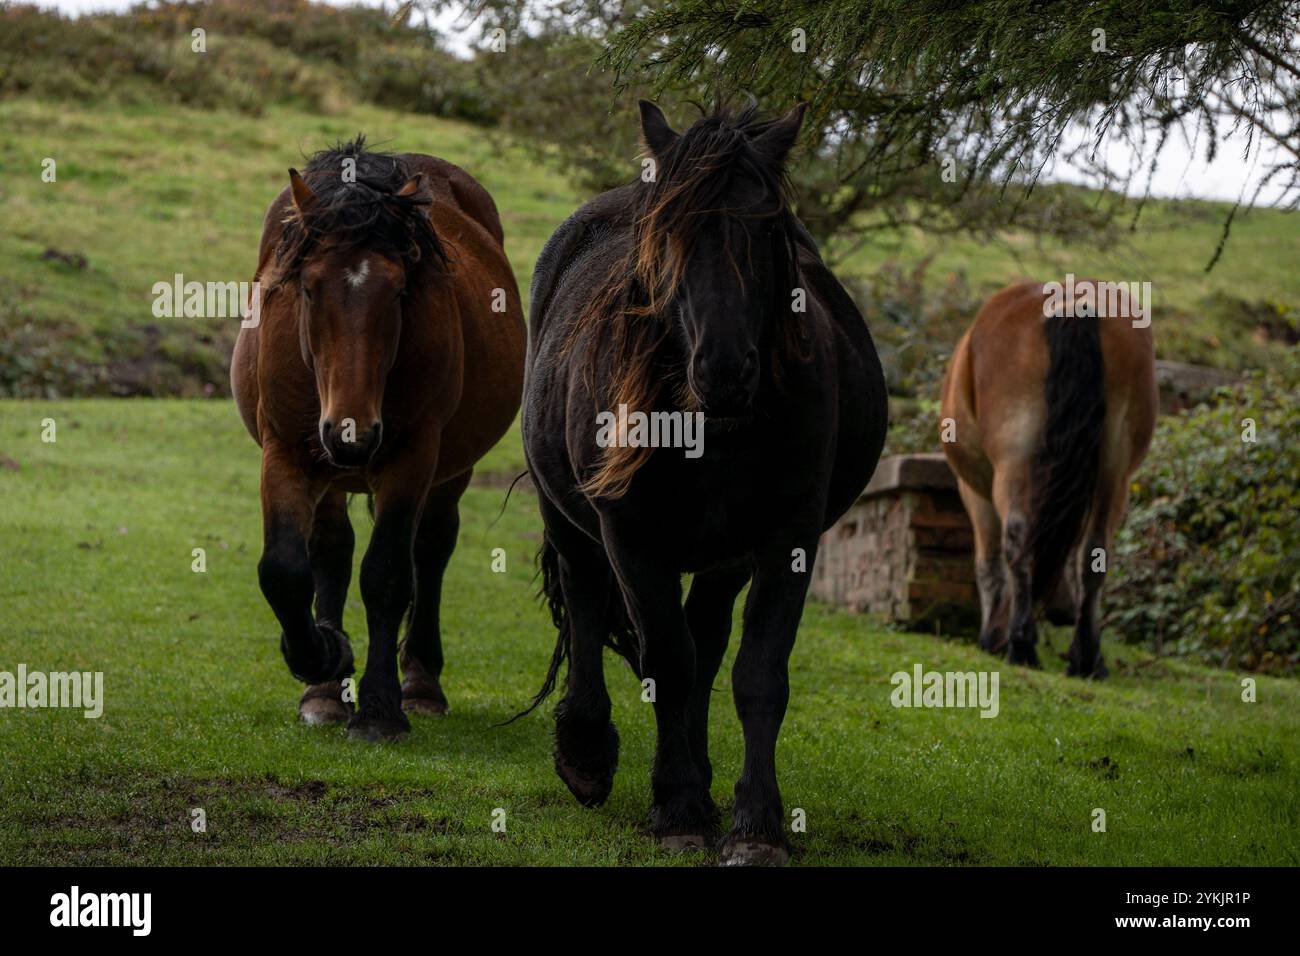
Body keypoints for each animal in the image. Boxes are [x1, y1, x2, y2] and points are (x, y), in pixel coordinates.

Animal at [233, 140, 522, 738]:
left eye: (400, 289)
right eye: (309, 287)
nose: (352, 435)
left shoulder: (411, 457)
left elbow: (388, 574)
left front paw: (380, 709)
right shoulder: (286, 451)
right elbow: (284, 571)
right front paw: (326, 655)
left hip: (449, 471)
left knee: (430, 551)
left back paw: (421, 683)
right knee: (331, 552)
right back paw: (323, 692)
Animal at [522, 100, 889, 863]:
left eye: (770, 229)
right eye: (667, 235)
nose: (723, 369)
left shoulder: (787, 539)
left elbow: (755, 675)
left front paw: (754, 823)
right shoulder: (631, 538)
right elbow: (666, 659)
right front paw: (678, 808)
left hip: (725, 558)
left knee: (708, 639)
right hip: (565, 515)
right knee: (586, 601)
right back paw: (586, 751)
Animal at [941, 280, 1154, 676]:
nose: (1063, 613)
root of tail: (1072, 306)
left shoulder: (974, 491)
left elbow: (988, 565)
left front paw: (994, 634)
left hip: (1014, 459)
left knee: (1016, 539)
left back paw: (1022, 645)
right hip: (1115, 469)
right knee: (1095, 552)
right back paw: (1086, 657)